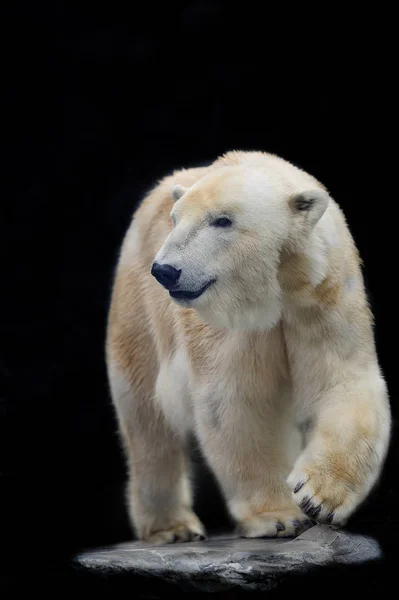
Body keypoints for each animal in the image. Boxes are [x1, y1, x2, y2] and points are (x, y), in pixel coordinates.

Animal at [105, 150, 390, 544]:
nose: (165, 270)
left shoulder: (323, 296)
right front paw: (278, 517)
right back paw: (173, 527)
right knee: (147, 423)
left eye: (222, 220)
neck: (279, 284)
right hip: (137, 313)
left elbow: (341, 382)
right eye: (175, 219)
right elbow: (236, 404)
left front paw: (317, 498)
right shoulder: (229, 326)